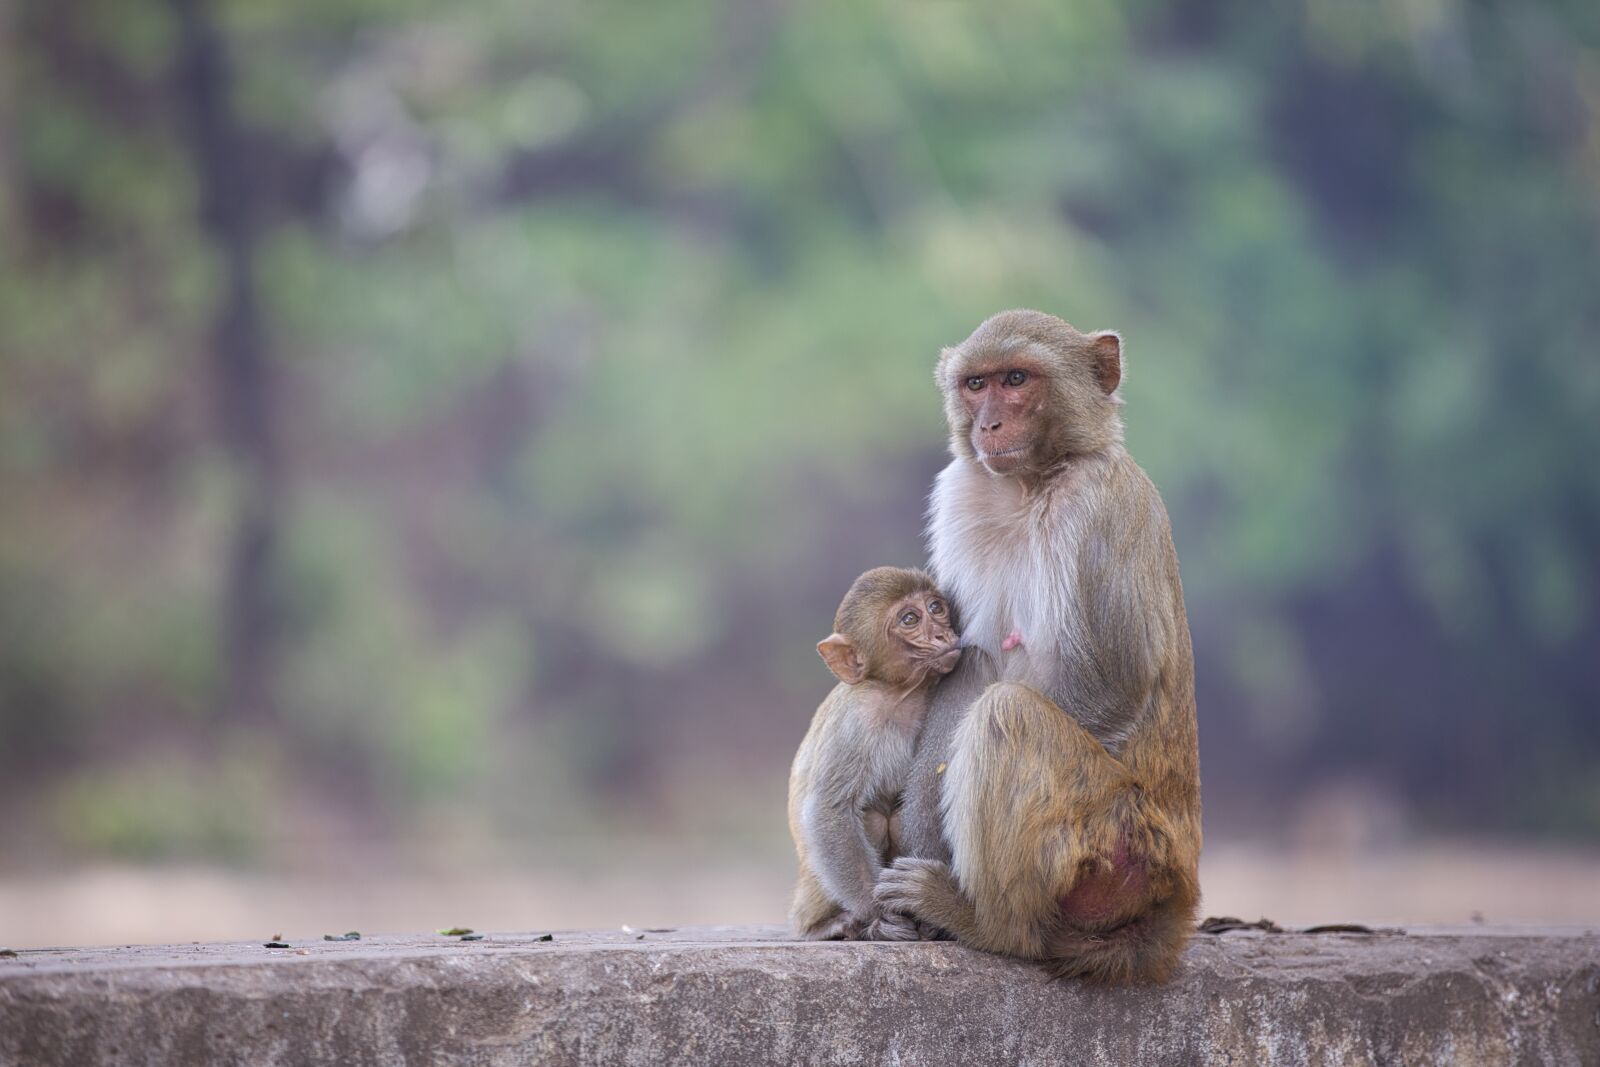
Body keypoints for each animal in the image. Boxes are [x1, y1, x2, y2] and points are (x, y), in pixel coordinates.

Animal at [787, 563, 960, 940]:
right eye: (910, 619)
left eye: (936, 608)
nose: (943, 635)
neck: (901, 695)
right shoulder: (856, 721)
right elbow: (829, 809)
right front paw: (879, 914)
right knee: (873, 818)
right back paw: (825, 925)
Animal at [876, 310, 1203, 985]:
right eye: (976, 384)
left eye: (1017, 379)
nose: (988, 425)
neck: (1034, 484)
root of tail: (1175, 895)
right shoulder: (963, 493)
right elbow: (967, 665)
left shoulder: (1100, 508)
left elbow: (1111, 685)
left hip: (1115, 848)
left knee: (1009, 717)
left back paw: (990, 924)